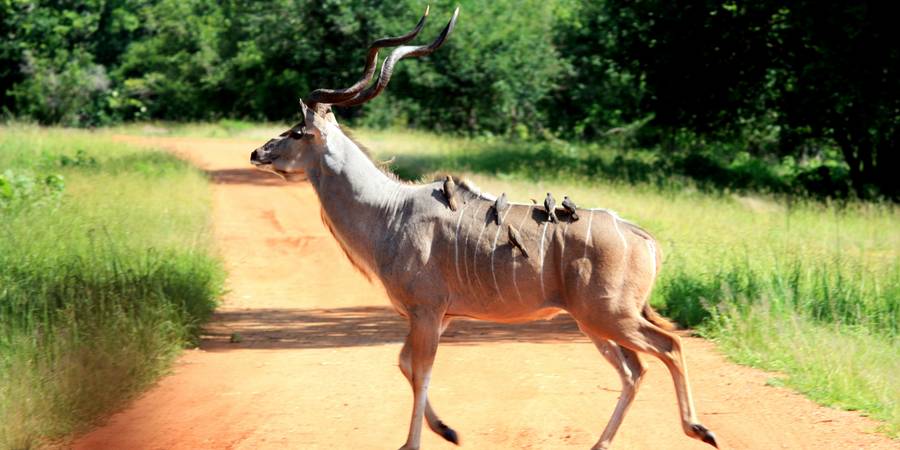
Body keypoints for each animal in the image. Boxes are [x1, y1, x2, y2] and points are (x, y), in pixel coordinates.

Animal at [251, 7, 716, 450]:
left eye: (297, 131)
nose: (258, 152)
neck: (390, 211)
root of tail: (645, 240)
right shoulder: (438, 316)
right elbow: (405, 364)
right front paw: (447, 430)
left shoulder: (426, 311)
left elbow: (420, 372)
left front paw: (414, 442)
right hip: (594, 322)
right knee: (634, 370)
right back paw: (601, 444)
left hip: (610, 315)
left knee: (669, 347)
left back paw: (699, 429)